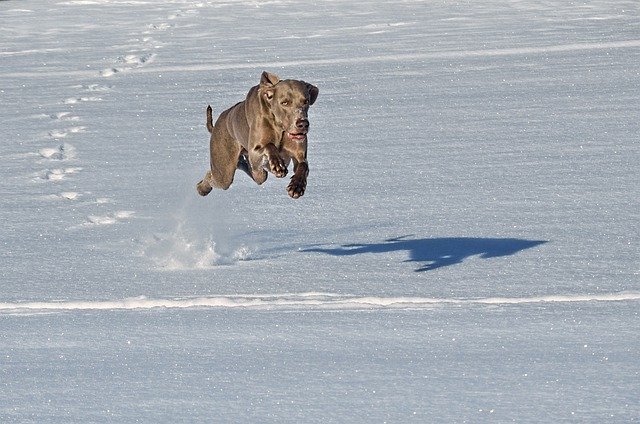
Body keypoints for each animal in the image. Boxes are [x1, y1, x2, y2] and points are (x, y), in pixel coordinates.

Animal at [196, 71, 318, 199]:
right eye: (284, 102)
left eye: (306, 101)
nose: (303, 124)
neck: (280, 128)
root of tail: (215, 126)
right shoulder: (254, 153)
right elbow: (269, 146)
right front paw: (278, 165)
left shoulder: (299, 154)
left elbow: (303, 165)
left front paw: (296, 186)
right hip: (224, 171)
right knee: (213, 177)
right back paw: (203, 189)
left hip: (257, 174)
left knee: (250, 170)